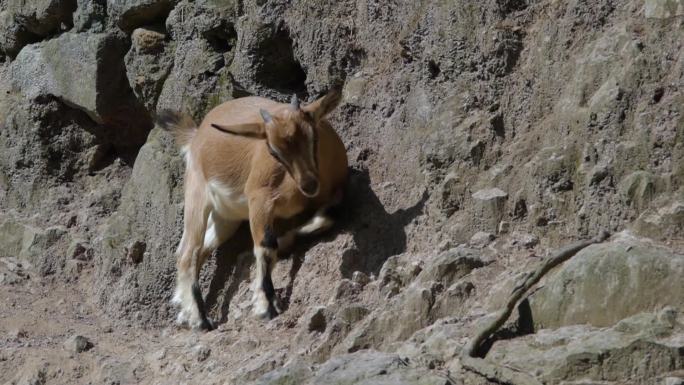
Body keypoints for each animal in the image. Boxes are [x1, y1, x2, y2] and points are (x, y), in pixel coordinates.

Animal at [158, 88, 350, 328]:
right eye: (274, 152)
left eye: (313, 136)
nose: (309, 184)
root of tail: (196, 135)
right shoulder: (259, 199)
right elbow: (266, 245)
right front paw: (266, 305)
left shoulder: (337, 190)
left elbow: (328, 218)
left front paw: (289, 237)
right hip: (196, 196)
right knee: (188, 252)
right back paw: (200, 320)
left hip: (225, 218)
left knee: (198, 250)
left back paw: (185, 311)